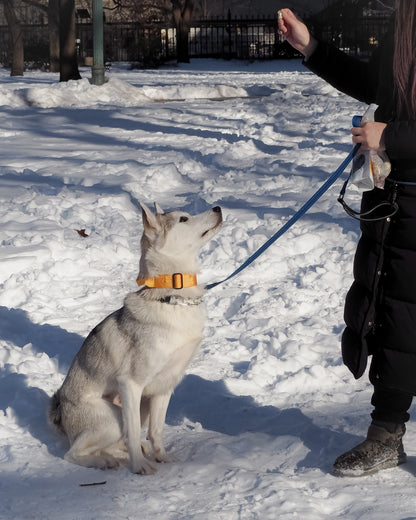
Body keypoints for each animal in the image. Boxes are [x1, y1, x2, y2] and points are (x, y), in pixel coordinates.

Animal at [48, 203, 223, 476]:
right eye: (184, 219)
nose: (217, 207)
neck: (172, 298)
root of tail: (61, 412)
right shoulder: (131, 385)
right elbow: (132, 433)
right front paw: (140, 466)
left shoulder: (164, 387)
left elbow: (157, 431)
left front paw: (161, 456)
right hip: (113, 417)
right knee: (73, 453)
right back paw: (104, 462)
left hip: (139, 409)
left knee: (115, 444)